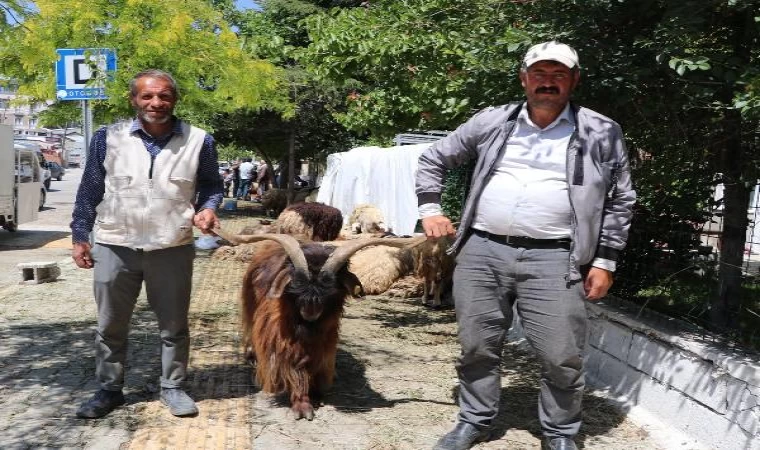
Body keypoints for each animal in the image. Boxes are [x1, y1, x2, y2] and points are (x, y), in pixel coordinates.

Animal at [214, 229, 424, 422]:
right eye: (295, 284)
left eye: (332, 287)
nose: (310, 309)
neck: (307, 327)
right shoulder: (281, 340)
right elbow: (293, 369)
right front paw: (302, 406)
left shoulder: (322, 343)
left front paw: (314, 396)